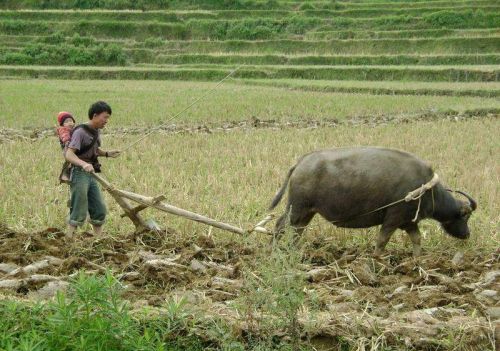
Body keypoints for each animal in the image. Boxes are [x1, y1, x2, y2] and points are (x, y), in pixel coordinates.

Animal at [270, 147, 476, 258]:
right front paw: (377, 259)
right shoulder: (393, 219)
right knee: (280, 225)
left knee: (297, 230)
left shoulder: (409, 222)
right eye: (465, 216)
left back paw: (294, 251)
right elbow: (382, 241)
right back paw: (271, 250)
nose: (467, 234)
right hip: (296, 207)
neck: (425, 189)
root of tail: (301, 163)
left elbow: (417, 239)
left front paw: (417, 260)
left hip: (307, 211)